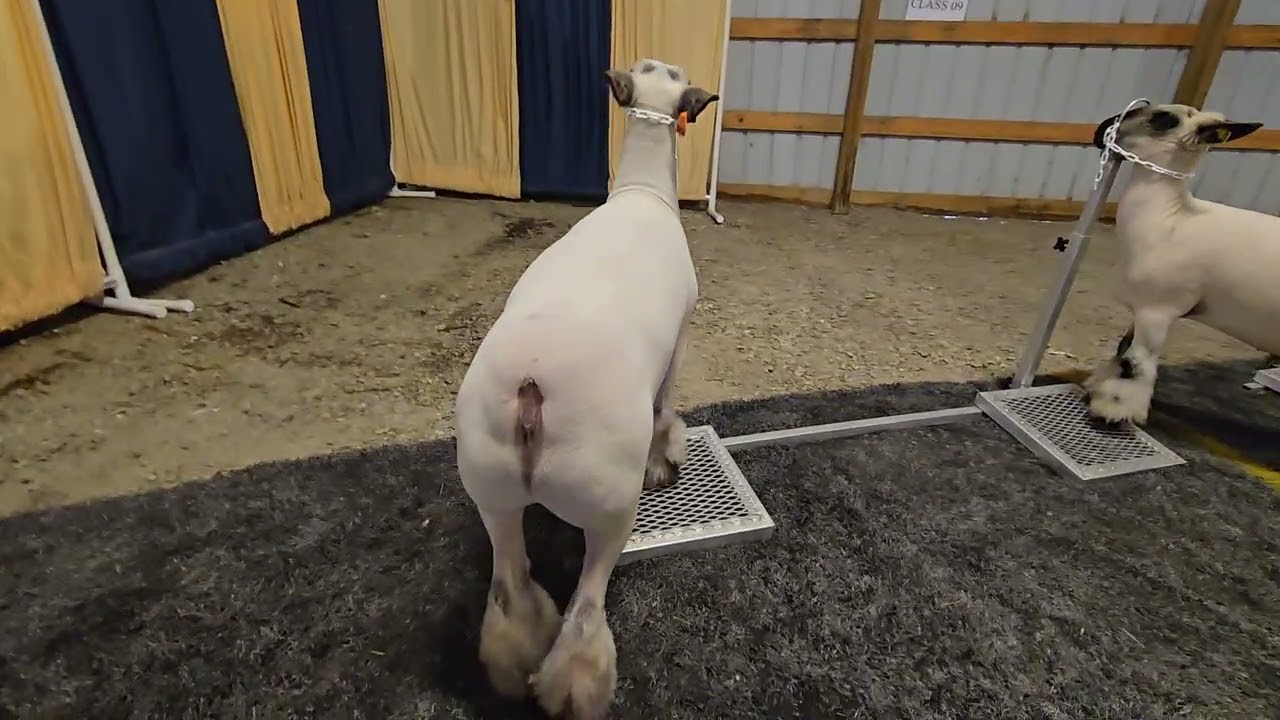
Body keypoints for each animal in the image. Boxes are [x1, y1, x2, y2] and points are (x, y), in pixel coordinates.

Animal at [451, 57, 718, 719]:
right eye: (674, 73)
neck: (641, 193)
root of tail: (531, 394)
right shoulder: (681, 338)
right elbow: (665, 410)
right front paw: (664, 460)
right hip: (605, 506)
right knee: (584, 614)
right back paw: (576, 692)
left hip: (490, 488)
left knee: (511, 587)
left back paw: (511, 667)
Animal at [1082, 101, 1278, 425]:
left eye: (1164, 119)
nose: (1101, 129)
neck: (1171, 219)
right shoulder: (1144, 306)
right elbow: (1122, 350)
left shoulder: (1157, 311)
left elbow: (1135, 362)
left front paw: (1115, 409)